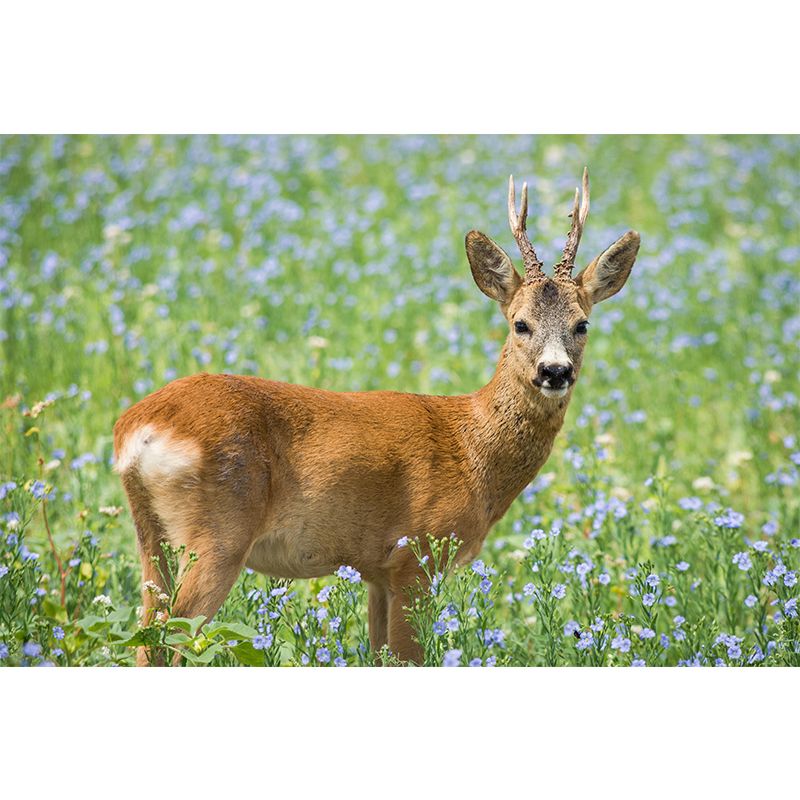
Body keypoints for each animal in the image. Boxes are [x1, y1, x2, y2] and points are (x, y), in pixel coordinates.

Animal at [113, 167, 640, 665]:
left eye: (582, 324)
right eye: (520, 323)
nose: (555, 371)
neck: (472, 451)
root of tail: (137, 429)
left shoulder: (376, 572)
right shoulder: (416, 556)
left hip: (152, 535)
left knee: (147, 634)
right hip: (218, 532)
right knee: (169, 638)